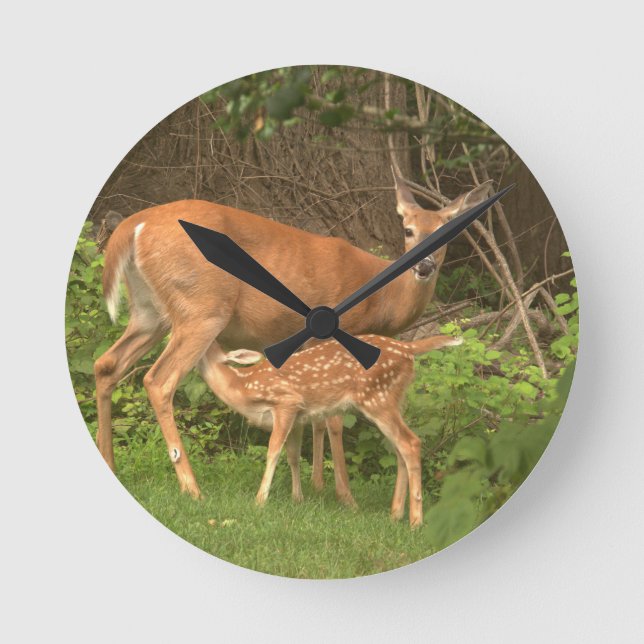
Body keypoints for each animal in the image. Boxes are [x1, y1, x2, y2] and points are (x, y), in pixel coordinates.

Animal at [94, 169, 491, 502]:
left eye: (449, 231)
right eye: (408, 229)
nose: (424, 267)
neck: (383, 297)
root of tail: (134, 225)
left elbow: (314, 417)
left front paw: (314, 487)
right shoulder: (339, 336)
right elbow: (333, 419)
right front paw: (344, 496)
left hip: (150, 312)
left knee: (106, 364)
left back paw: (110, 465)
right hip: (202, 308)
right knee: (158, 380)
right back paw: (192, 488)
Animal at [199, 334, 462, 526]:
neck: (243, 387)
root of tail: (408, 347)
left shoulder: (286, 402)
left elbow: (273, 451)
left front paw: (259, 501)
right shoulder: (298, 418)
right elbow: (293, 456)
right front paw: (298, 499)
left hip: (378, 398)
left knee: (411, 443)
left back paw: (415, 521)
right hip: (393, 399)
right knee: (400, 449)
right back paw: (395, 514)